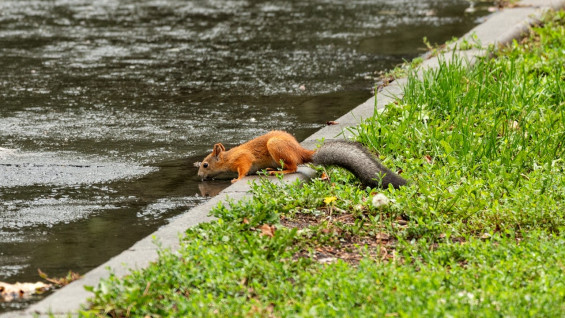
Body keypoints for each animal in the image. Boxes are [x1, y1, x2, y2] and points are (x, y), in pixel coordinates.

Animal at [197, 130, 406, 189]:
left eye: (205, 164)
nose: (199, 176)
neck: (228, 157)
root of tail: (300, 152)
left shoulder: (243, 159)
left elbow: (243, 169)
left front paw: (236, 179)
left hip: (277, 147)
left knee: (294, 167)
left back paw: (279, 171)